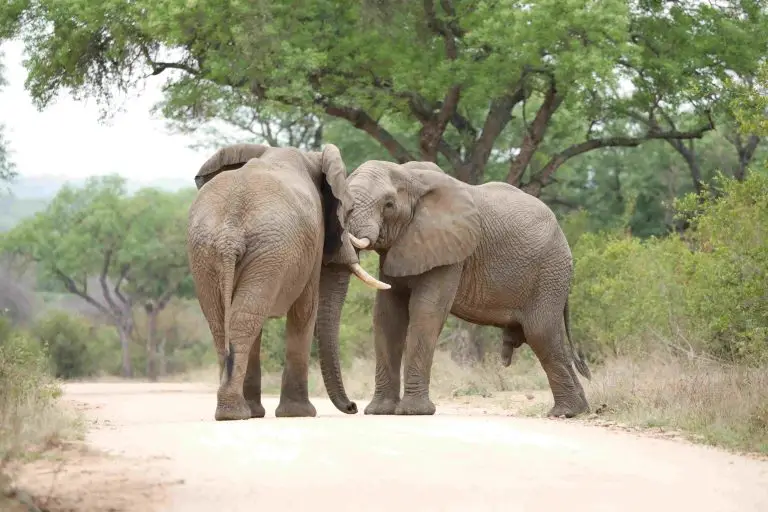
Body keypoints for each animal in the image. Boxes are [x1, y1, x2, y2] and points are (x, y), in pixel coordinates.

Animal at [187, 143, 390, 421]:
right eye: (347, 212)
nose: (353, 407)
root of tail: (230, 231)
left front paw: (262, 413)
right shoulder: (313, 240)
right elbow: (306, 310)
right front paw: (299, 413)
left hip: (213, 251)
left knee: (227, 321)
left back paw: (233, 412)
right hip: (264, 250)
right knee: (244, 320)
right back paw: (236, 413)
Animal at [340, 160, 592, 418]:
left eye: (389, 205)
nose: (352, 407)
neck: (411, 175)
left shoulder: (451, 249)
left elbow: (426, 312)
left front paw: (413, 412)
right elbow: (387, 315)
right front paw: (379, 411)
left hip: (549, 273)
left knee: (541, 333)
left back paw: (564, 412)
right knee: (552, 337)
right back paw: (578, 410)